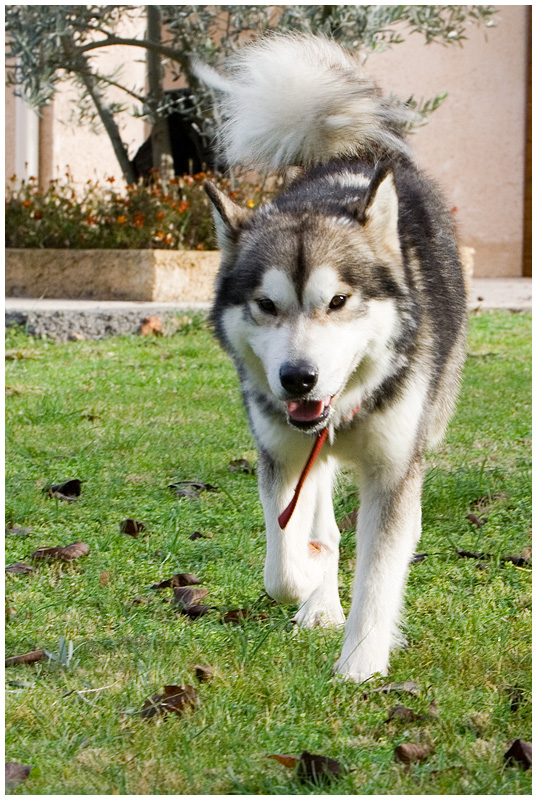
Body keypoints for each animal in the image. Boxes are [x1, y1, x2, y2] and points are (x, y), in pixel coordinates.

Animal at [196, 32, 464, 680]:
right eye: (267, 305)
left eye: (338, 301)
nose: (298, 379)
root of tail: (358, 155)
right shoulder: (283, 456)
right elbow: (282, 570)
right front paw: (314, 576)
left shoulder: (393, 471)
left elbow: (379, 573)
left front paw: (361, 664)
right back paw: (320, 593)